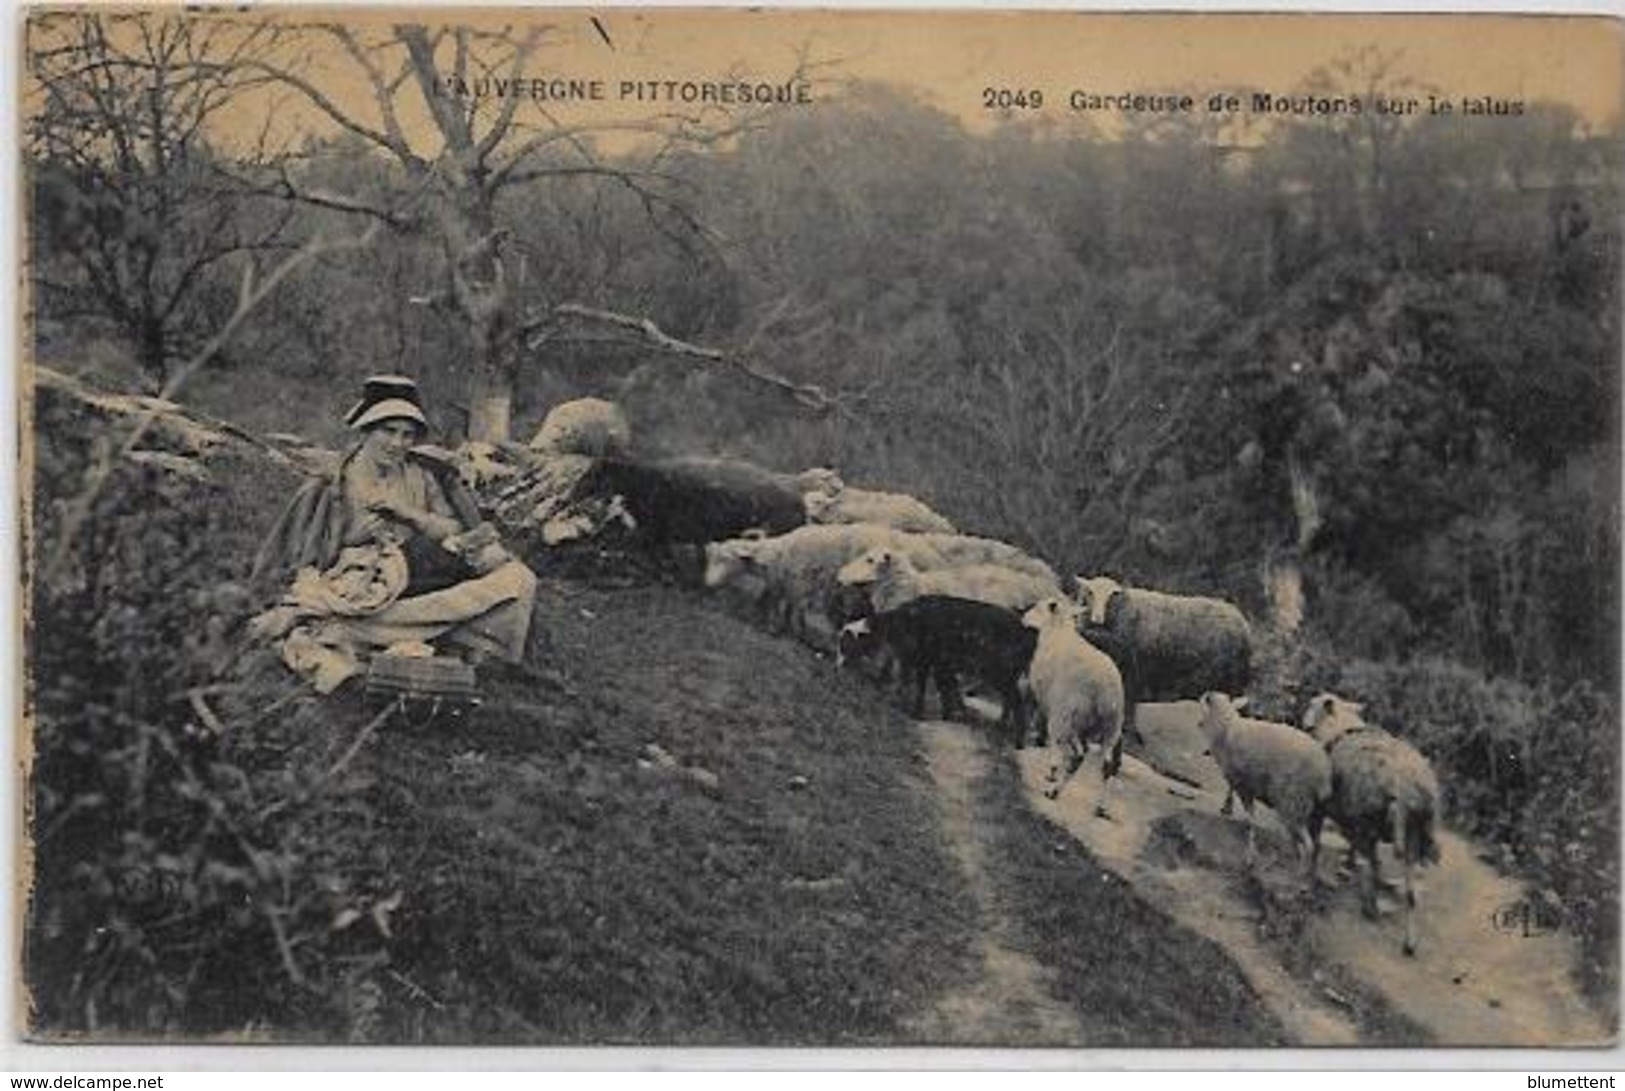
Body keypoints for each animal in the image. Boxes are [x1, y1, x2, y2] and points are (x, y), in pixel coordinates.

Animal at [1020, 591, 1124, 816]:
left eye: (1038, 608)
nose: (1023, 618)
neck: (1057, 632)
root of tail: (1104, 692)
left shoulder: (1046, 702)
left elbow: (1045, 731)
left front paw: (1051, 770)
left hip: (1068, 716)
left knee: (1077, 756)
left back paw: (1053, 791)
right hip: (1109, 728)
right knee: (1106, 765)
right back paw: (1100, 806)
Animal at [1196, 695, 1332, 884]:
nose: (1198, 723)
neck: (1227, 726)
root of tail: (1323, 772)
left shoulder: (1243, 784)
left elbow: (1250, 820)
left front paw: (1250, 857)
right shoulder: (1241, 781)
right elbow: (1235, 796)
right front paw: (1226, 808)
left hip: (1292, 802)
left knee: (1308, 844)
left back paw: (1297, 874)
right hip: (1314, 811)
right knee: (1315, 844)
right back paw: (1309, 875)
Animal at [1300, 692, 1443, 956]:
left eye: (1312, 706)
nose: (1304, 726)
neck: (1341, 728)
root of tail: (1405, 786)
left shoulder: (1329, 810)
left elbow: (1316, 844)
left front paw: (1314, 875)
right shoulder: (1353, 818)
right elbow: (1352, 846)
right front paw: (1347, 864)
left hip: (1373, 823)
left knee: (1373, 867)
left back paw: (1371, 908)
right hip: (1412, 834)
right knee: (1410, 893)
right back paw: (1409, 942)